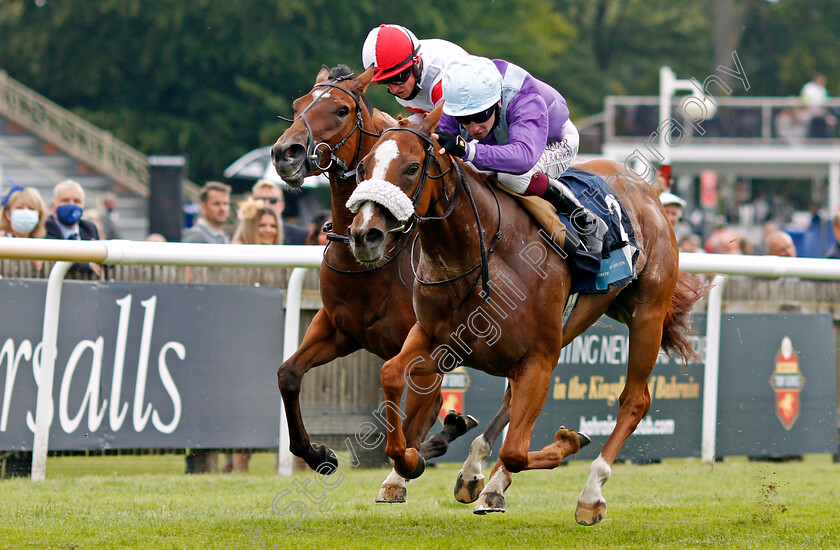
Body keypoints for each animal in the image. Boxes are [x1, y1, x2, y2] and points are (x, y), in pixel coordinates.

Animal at [272, 66, 486, 504]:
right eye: (298, 105)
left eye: (340, 109)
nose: (286, 153)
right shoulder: (338, 329)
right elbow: (288, 374)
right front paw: (319, 454)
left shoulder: (429, 347)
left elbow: (416, 416)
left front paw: (405, 469)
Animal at [344, 104, 704, 528]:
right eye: (364, 165)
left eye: (413, 167)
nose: (365, 235)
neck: (479, 252)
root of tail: (646, 190)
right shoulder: (438, 338)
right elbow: (391, 373)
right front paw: (409, 464)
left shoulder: (539, 358)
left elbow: (517, 450)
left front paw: (568, 441)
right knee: (511, 402)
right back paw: (480, 478)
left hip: (646, 313)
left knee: (635, 401)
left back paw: (590, 493)